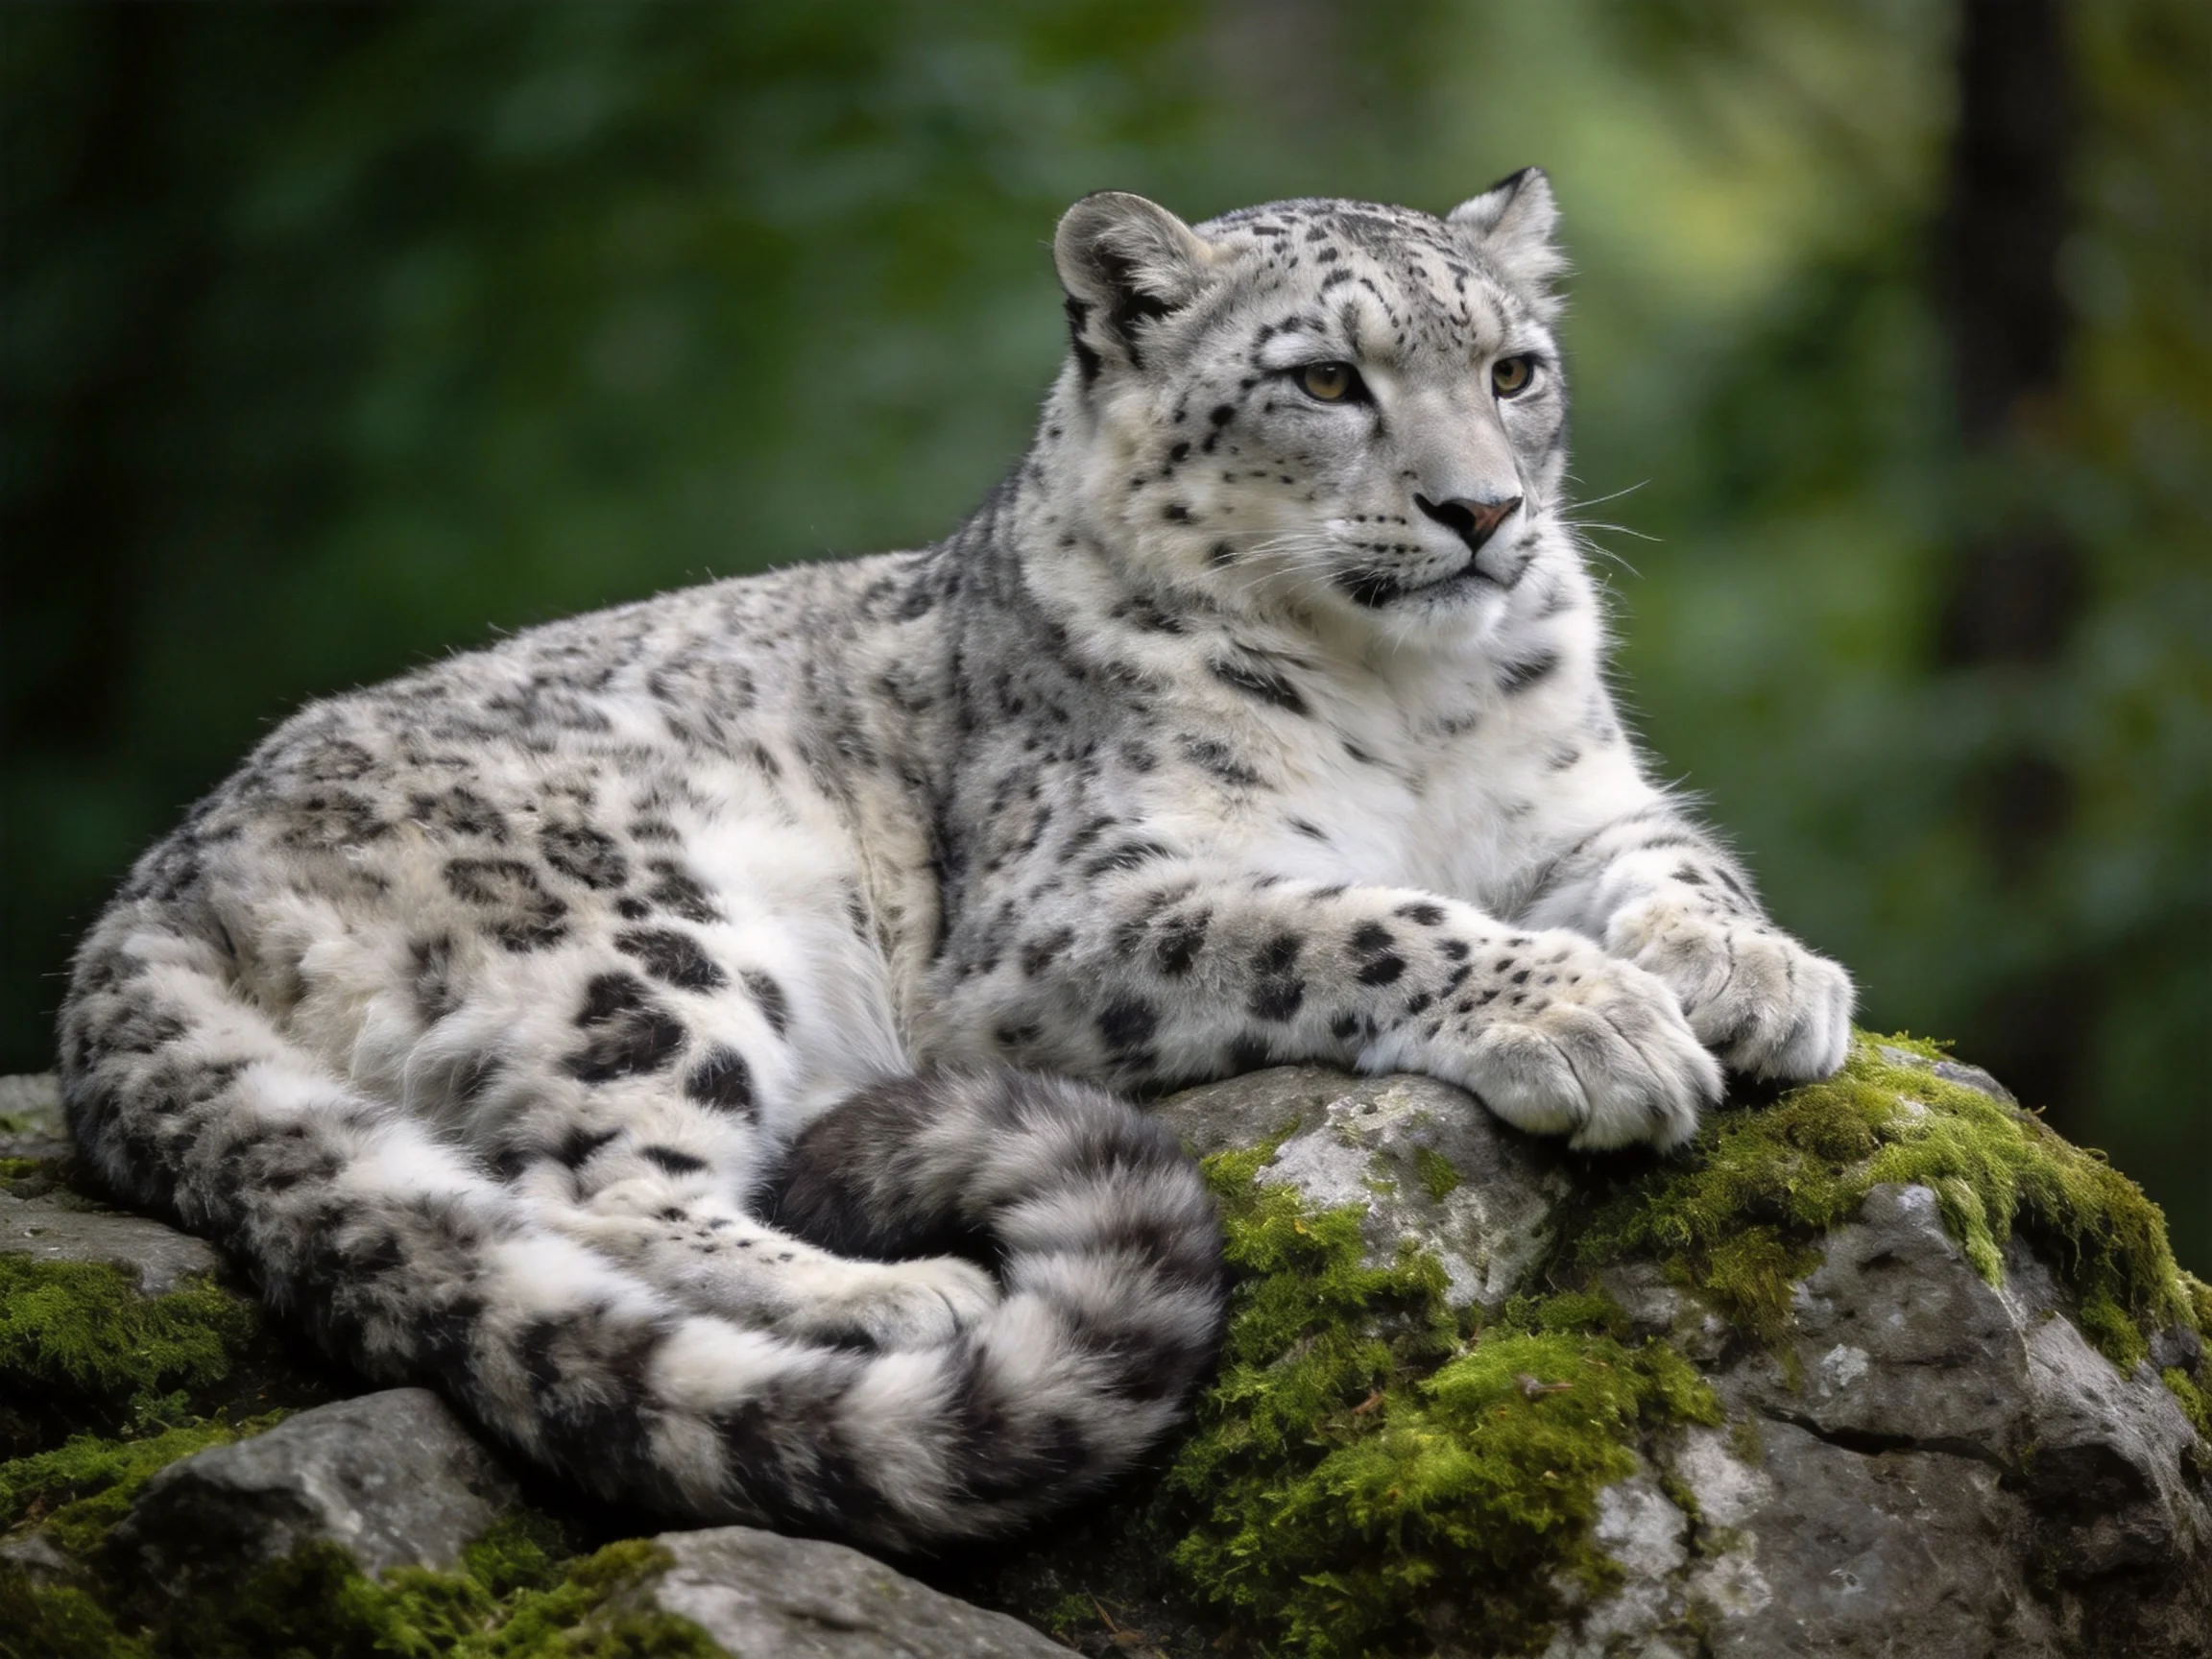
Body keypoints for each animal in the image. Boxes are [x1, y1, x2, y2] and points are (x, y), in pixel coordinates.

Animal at [58, 169, 1853, 1554]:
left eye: (1513, 368)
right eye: (1326, 380)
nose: (1481, 512)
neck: (1406, 702)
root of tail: (149, 887)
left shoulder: (1581, 810)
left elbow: (1684, 866)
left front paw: (1761, 977)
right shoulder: (1076, 912)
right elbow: (1357, 920)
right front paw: (1591, 1023)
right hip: (642, 939)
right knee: (589, 1189)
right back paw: (900, 1297)